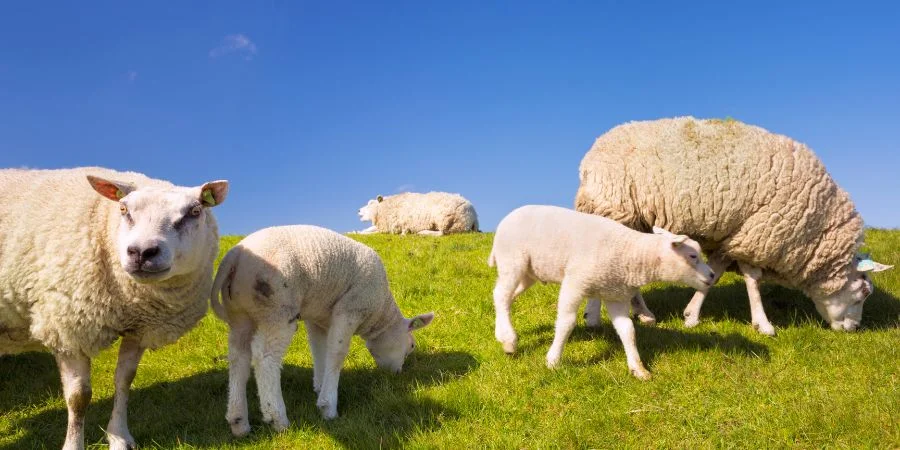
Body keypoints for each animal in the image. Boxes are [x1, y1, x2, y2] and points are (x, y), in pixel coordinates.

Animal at [0, 167, 228, 450]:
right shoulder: (67, 326)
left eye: (195, 211)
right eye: (123, 209)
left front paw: (119, 437)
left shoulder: (140, 328)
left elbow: (124, 380)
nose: (142, 252)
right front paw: (74, 444)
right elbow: (79, 397)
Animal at [210, 225, 435, 436]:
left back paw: (238, 420)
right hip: (277, 309)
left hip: (239, 314)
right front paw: (328, 406)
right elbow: (337, 353)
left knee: (239, 357)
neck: (379, 312)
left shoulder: (317, 318)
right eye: (411, 346)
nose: (397, 373)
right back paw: (277, 418)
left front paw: (319, 385)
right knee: (265, 359)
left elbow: (319, 351)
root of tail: (234, 256)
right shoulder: (350, 308)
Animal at [488, 205, 715, 379]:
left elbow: (628, 330)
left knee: (503, 296)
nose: (712, 275)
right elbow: (566, 323)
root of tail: (507, 218)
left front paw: (638, 368)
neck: (631, 254)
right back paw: (509, 340)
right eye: (693, 256)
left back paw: (503, 334)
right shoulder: (575, 282)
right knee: (501, 294)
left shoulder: (616, 295)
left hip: (529, 272)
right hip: (512, 260)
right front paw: (553, 360)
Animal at [575, 116, 893, 335]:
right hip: (613, 209)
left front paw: (691, 316)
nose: (854, 329)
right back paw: (594, 318)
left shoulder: (734, 237)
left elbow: (713, 275)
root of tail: (591, 156)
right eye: (864, 292)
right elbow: (753, 279)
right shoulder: (758, 234)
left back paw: (642, 313)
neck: (814, 229)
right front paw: (763, 324)